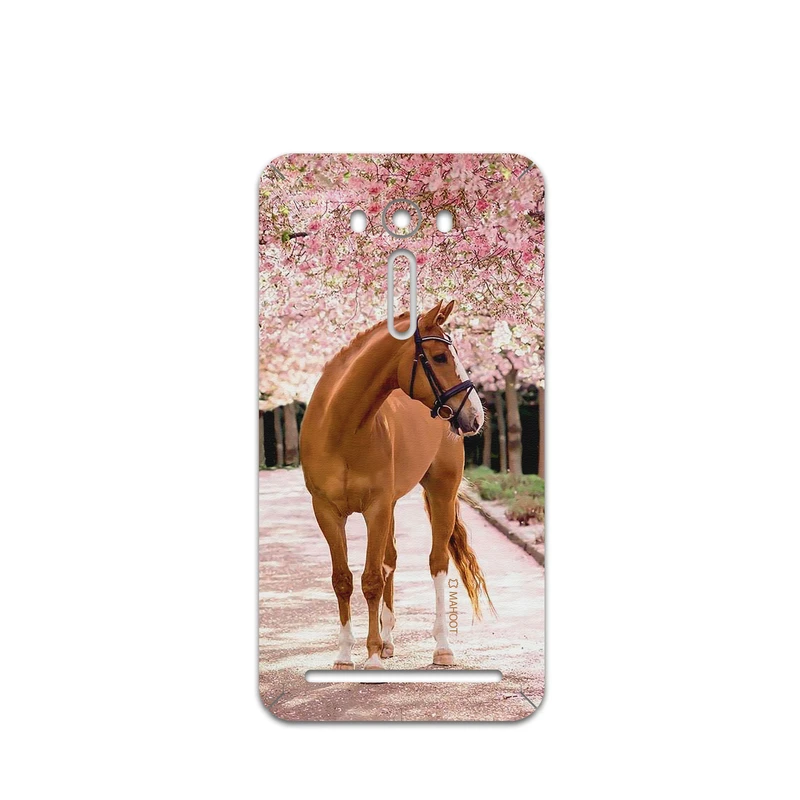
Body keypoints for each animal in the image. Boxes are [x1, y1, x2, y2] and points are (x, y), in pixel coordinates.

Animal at [299, 300, 493, 670]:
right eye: (440, 357)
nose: (475, 416)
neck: (341, 429)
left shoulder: (375, 508)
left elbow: (371, 579)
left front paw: (372, 657)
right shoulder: (327, 512)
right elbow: (343, 580)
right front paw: (345, 655)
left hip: (441, 493)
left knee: (437, 563)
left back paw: (441, 648)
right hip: (390, 505)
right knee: (390, 559)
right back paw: (389, 641)